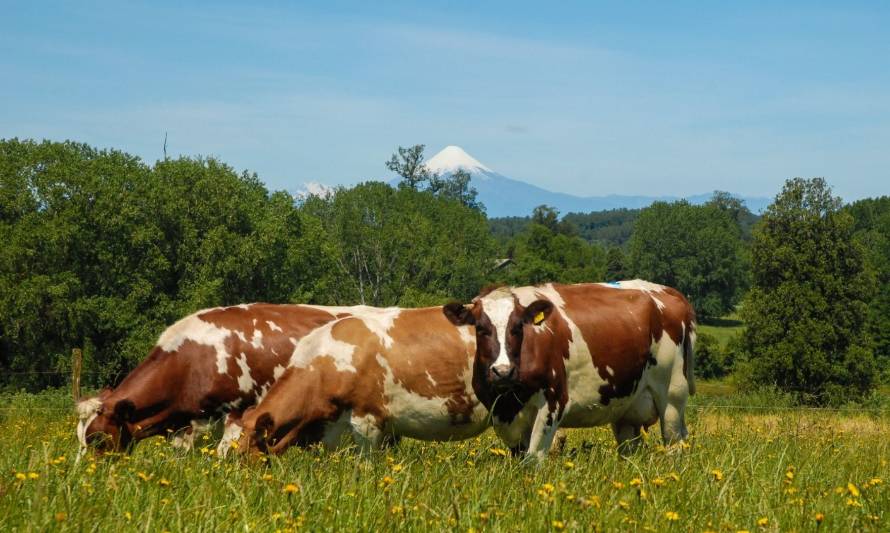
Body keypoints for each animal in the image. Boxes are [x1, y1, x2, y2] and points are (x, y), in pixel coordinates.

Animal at [74, 302, 368, 456]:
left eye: (97, 438)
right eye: (80, 437)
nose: (85, 472)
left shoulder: (238, 410)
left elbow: (224, 452)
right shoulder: (187, 424)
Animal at [442, 278, 692, 458]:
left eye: (518, 327)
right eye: (480, 328)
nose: (503, 372)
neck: (511, 398)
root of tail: (668, 291)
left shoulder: (553, 403)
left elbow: (534, 457)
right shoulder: (502, 415)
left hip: (672, 395)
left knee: (674, 442)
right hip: (628, 406)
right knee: (630, 447)